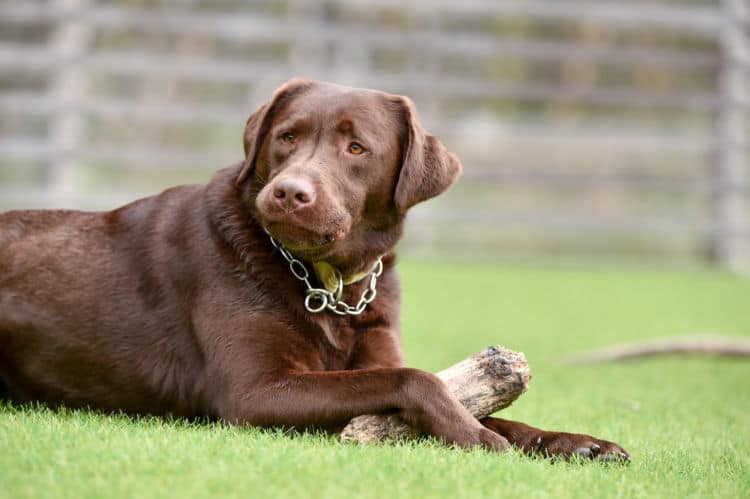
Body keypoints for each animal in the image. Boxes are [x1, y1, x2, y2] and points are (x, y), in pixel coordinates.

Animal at [0, 79, 628, 460]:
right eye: (287, 137)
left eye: (357, 148)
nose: (289, 192)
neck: (329, 287)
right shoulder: (256, 392)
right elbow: (419, 381)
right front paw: (475, 437)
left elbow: (481, 405)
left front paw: (575, 443)